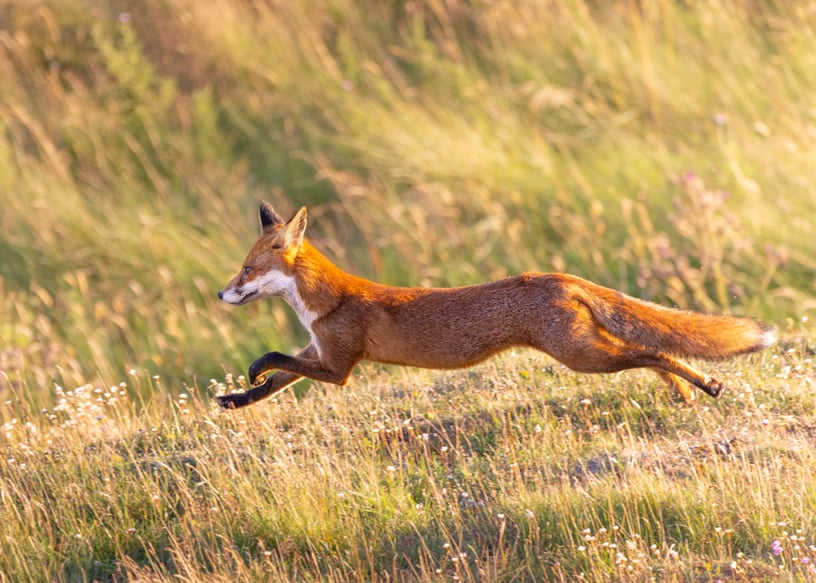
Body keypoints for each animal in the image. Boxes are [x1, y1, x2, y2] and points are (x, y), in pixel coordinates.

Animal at [216, 201, 776, 409]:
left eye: (245, 270)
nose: (220, 294)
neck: (326, 302)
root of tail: (556, 276)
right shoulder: (320, 351)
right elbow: (278, 380)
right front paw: (238, 399)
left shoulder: (339, 367)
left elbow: (275, 361)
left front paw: (251, 374)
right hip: (587, 349)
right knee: (653, 352)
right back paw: (684, 393)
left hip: (581, 356)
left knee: (654, 352)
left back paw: (703, 385)